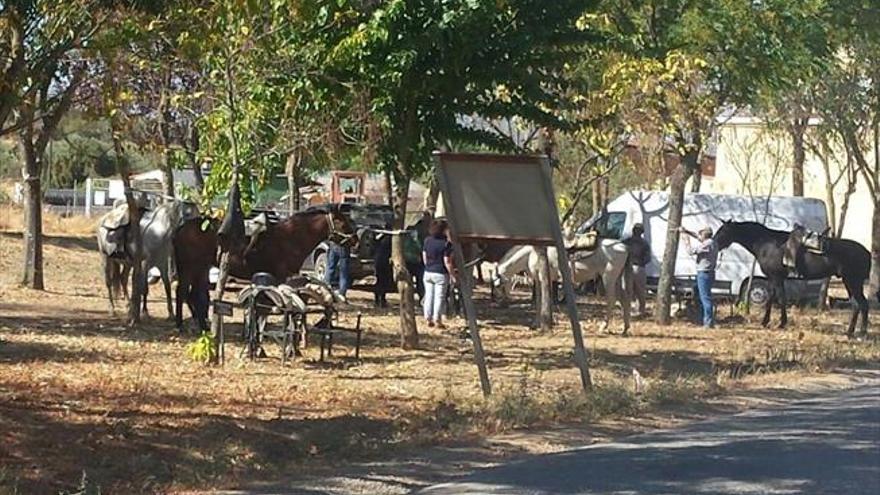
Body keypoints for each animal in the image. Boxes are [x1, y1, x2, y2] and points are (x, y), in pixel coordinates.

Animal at [174, 205, 356, 334]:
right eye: (342, 222)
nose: (356, 240)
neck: (292, 237)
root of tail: (182, 228)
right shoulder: (282, 277)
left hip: (201, 268)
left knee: (194, 295)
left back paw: (203, 326)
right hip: (191, 267)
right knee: (182, 293)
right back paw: (180, 325)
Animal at [496, 241, 632, 336]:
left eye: (498, 285)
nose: (501, 303)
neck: (532, 253)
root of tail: (624, 247)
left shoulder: (545, 279)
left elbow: (545, 300)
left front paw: (547, 322)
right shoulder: (540, 280)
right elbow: (540, 301)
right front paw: (537, 323)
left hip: (608, 278)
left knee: (612, 300)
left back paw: (603, 326)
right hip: (617, 279)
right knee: (624, 300)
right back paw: (625, 329)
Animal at [716, 221, 872, 338]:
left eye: (723, 231)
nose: (714, 243)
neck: (767, 243)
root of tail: (867, 252)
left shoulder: (776, 277)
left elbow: (780, 299)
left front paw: (780, 323)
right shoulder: (773, 279)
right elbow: (773, 299)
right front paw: (766, 321)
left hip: (853, 281)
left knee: (863, 304)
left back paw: (861, 333)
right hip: (849, 281)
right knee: (856, 305)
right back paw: (850, 332)